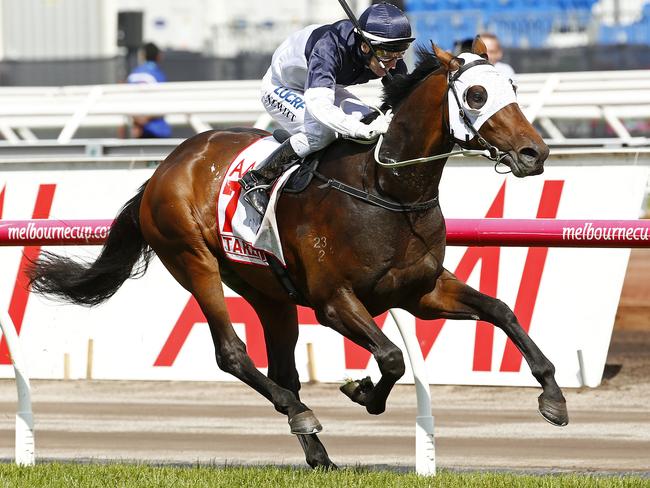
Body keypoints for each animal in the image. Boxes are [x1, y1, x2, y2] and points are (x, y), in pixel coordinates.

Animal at [29, 40, 568, 468]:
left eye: (512, 86)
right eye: (476, 95)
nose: (533, 153)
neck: (386, 188)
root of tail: (168, 165)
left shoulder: (422, 293)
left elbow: (501, 310)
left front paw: (553, 397)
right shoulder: (333, 301)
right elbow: (392, 357)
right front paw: (364, 392)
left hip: (268, 291)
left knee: (282, 369)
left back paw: (317, 452)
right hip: (192, 259)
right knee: (232, 353)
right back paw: (302, 415)